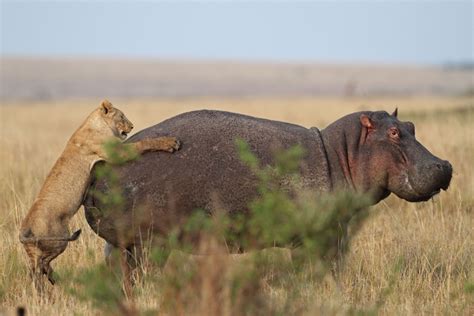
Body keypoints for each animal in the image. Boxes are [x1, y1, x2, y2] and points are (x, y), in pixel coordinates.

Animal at [19, 99, 180, 288]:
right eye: (122, 116)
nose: (132, 126)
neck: (95, 123)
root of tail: (24, 229)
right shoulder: (115, 152)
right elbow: (142, 144)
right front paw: (170, 143)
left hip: (37, 249)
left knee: (34, 269)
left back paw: (49, 280)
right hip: (59, 239)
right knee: (42, 262)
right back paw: (51, 277)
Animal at [81, 108, 452, 260]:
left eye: (411, 125)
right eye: (393, 132)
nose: (444, 165)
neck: (343, 153)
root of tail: (100, 168)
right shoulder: (316, 239)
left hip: (119, 244)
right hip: (149, 243)